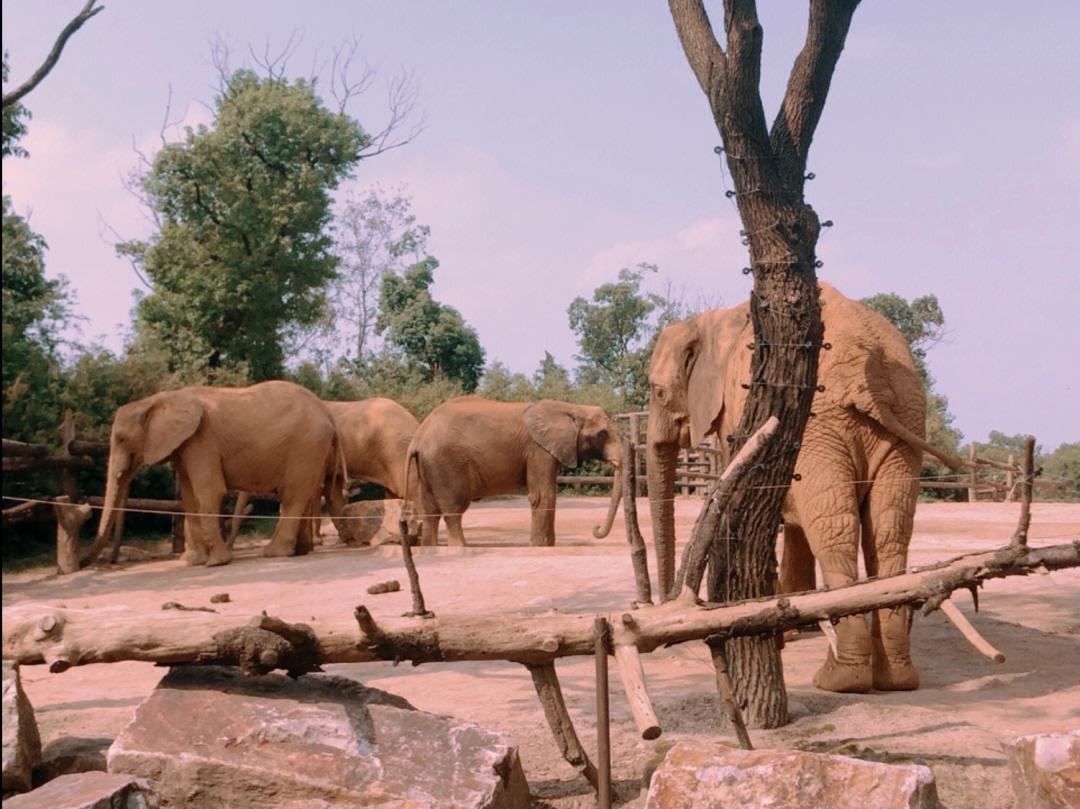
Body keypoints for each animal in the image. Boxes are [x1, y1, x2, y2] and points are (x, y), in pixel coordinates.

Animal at [86, 380, 343, 565]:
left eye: (121, 439)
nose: (100, 562)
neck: (159, 399)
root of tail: (326, 412)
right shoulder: (185, 446)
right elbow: (189, 497)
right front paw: (192, 561)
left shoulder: (202, 439)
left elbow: (209, 492)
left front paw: (217, 562)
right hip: (312, 448)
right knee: (304, 493)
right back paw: (298, 552)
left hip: (306, 444)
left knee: (292, 496)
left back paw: (274, 553)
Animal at [406, 395, 626, 546]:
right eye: (602, 434)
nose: (595, 528)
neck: (571, 407)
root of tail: (419, 436)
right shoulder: (538, 450)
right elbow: (543, 495)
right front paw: (538, 546)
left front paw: (547, 545)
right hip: (446, 462)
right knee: (453, 508)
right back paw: (461, 548)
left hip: (428, 464)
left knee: (429, 510)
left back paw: (431, 549)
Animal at [639, 280, 963, 691]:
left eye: (659, 393)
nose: (662, 609)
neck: (712, 320)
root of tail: (869, 369)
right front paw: (793, 621)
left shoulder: (741, 413)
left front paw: (779, 627)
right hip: (903, 422)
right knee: (888, 530)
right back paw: (896, 679)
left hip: (820, 424)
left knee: (836, 529)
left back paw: (839, 678)